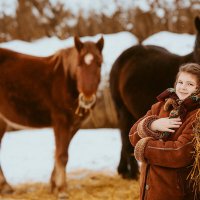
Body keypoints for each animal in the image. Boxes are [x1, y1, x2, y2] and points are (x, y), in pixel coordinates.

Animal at [0, 36, 104, 198]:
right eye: (79, 64)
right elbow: (62, 155)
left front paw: (54, 185)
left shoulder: (74, 126)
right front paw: (62, 190)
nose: (87, 98)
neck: (66, 81)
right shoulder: (61, 122)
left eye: (99, 63)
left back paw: (5, 187)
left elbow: (59, 153)